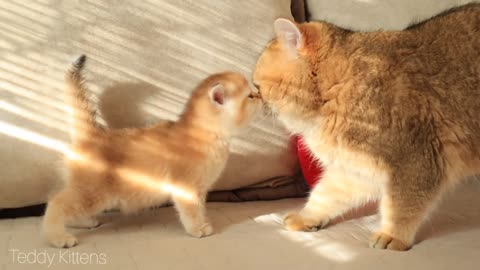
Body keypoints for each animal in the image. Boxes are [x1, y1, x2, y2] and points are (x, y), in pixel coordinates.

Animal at [43, 54, 260, 247]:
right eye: (249, 96)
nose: (259, 93)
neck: (203, 135)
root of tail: (94, 134)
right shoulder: (187, 189)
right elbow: (191, 211)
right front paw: (198, 228)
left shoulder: (199, 190)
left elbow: (199, 208)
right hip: (93, 192)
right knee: (56, 204)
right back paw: (58, 238)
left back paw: (84, 222)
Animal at [253, 4, 478, 251]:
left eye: (257, 85)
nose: (252, 94)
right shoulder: (353, 169)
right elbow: (324, 194)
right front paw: (307, 216)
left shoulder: (413, 162)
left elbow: (401, 208)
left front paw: (393, 236)